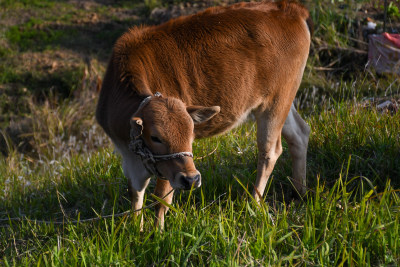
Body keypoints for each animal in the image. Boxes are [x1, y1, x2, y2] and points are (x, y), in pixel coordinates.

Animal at [97, 1, 312, 229]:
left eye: (191, 133)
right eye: (155, 137)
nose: (192, 180)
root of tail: (289, 8)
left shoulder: (168, 169)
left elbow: (161, 199)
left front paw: (157, 232)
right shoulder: (128, 157)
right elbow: (136, 195)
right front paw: (136, 229)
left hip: (275, 101)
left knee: (270, 150)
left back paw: (254, 203)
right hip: (283, 100)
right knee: (300, 133)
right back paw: (299, 192)